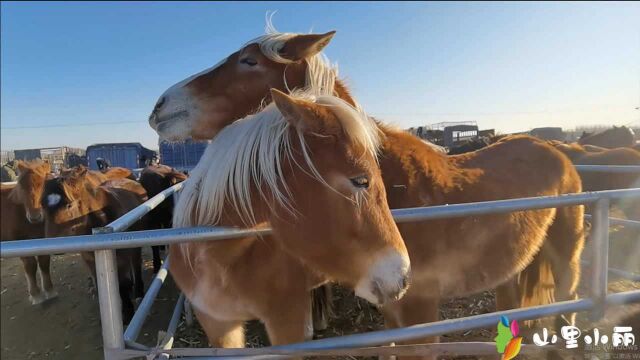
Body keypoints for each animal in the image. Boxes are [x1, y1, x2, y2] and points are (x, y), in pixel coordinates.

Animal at [0, 160, 53, 304]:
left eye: (44, 184)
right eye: (22, 187)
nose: (35, 217)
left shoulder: (43, 239)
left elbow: (44, 262)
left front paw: (49, 290)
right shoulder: (19, 242)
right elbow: (30, 266)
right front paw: (36, 295)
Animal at [40, 166, 148, 324]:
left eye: (69, 204)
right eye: (43, 206)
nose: (53, 244)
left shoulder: (122, 258)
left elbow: (123, 284)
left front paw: (127, 313)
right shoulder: (90, 261)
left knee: (136, 264)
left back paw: (139, 291)